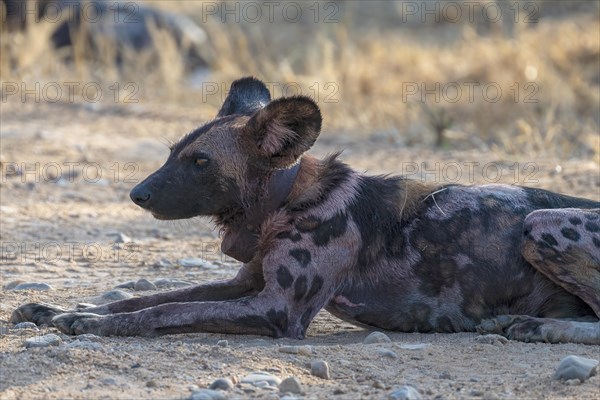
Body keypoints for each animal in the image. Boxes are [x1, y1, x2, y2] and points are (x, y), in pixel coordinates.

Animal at [12, 77, 600, 344]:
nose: (138, 194)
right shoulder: (245, 284)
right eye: (171, 152)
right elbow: (148, 298)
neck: (286, 200)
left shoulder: (277, 310)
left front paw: (86, 323)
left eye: (200, 161)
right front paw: (59, 310)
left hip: (539, 224)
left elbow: (163, 313)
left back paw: (537, 327)